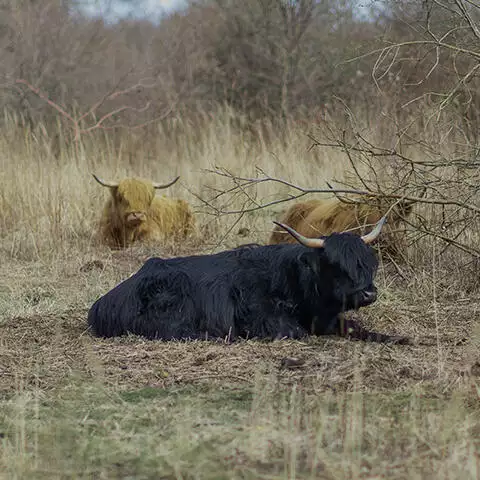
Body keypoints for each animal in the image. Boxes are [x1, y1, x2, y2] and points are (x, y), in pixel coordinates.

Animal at [86, 216, 404, 344]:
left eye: (367, 263)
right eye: (336, 265)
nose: (368, 294)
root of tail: (101, 304)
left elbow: (355, 327)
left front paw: (398, 338)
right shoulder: (263, 318)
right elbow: (294, 331)